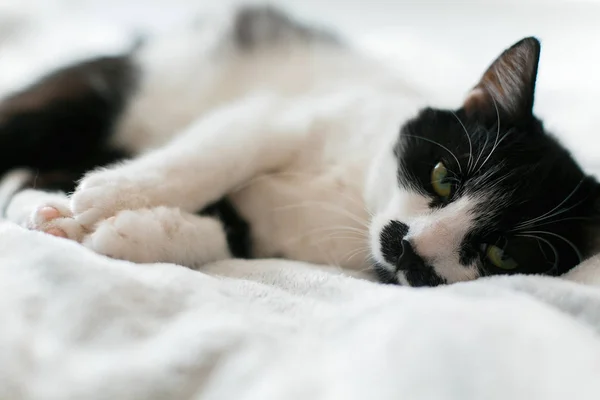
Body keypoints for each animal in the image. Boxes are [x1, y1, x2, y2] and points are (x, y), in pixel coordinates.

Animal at [1, 7, 600, 288]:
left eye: (503, 255)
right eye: (443, 176)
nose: (411, 247)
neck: (356, 202)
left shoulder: (261, 233)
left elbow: (221, 233)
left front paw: (120, 232)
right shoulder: (279, 116)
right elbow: (217, 155)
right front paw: (113, 193)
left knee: (32, 174)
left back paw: (46, 210)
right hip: (95, 95)